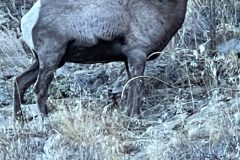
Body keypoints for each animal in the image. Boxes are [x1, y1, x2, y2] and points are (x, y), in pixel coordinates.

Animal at [14, 0, 188, 120]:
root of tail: (29, 18)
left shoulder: (129, 60)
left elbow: (130, 86)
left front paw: (128, 114)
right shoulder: (137, 56)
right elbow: (137, 85)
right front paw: (135, 116)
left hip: (47, 62)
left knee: (19, 81)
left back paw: (19, 121)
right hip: (51, 60)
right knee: (39, 89)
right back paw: (46, 122)